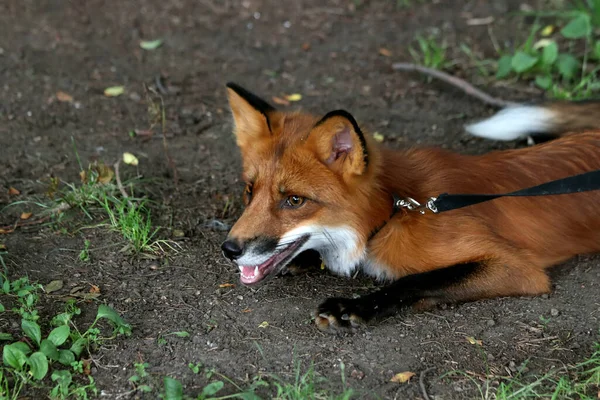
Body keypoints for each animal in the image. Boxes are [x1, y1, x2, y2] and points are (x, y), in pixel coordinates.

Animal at [220, 83, 600, 332]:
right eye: (250, 191)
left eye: (294, 200)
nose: (229, 249)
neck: (394, 212)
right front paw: (307, 259)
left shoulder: (517, 267)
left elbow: (417, 280)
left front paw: (355, 306)